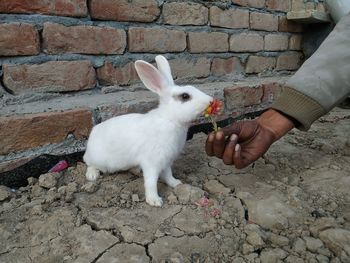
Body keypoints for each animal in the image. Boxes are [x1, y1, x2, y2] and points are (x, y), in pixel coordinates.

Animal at [83, 55, 212, 207]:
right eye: (185, 96)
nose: (211, 101)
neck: (170, 119)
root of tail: (93, 134)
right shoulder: (152, 162)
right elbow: (151, 182)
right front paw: (154, 201)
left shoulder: (166, 161)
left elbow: (168, 175)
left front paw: (176, 183)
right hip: (99, 160)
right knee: (89, 163)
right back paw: (92, 175)